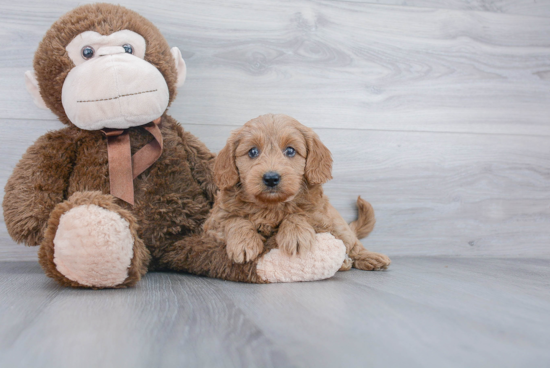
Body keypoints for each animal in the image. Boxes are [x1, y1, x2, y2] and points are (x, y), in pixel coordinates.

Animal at [206, 113, 392, 272]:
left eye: (290, 151)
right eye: (253, 151)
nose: (271, 178)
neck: (271, 206)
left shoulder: (320, 218)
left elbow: (299, 214)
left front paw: (295, 235)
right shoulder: (213, 223)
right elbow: (234, 219)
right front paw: (243, 242)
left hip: (339, 226)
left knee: (352, 244)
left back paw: (370, 258)